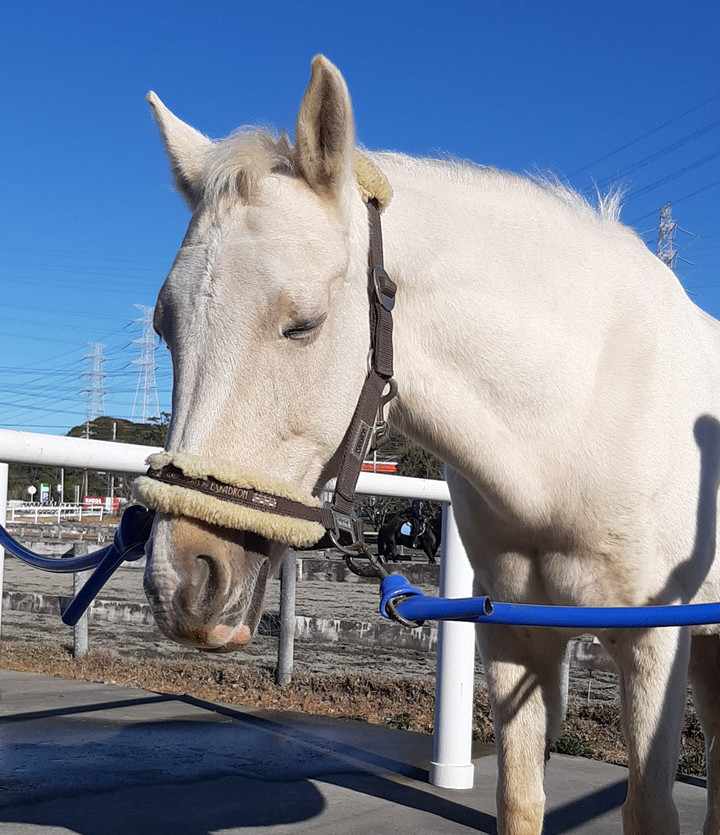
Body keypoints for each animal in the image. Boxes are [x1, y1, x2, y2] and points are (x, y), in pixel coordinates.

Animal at [138, 55, 720, 832]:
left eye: (304, 325)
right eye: (164, 327)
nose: (182, 583)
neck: (580, 426)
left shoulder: (658, 639)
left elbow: (650, 807)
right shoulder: (516, 638)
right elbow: (519, 796)